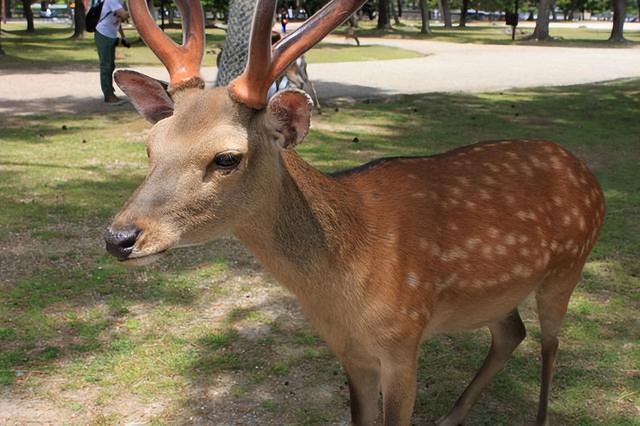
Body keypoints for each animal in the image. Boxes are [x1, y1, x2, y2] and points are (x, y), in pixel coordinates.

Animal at [104, 0, 604, 422]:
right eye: (150, 146)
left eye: (227, 158)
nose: (118, 237)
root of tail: (585, 171)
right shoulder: (348, 350)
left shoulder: (403, 340)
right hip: (497, 290)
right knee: (511, 333)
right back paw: (451, 417)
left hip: (568, 266)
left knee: (550, 343)